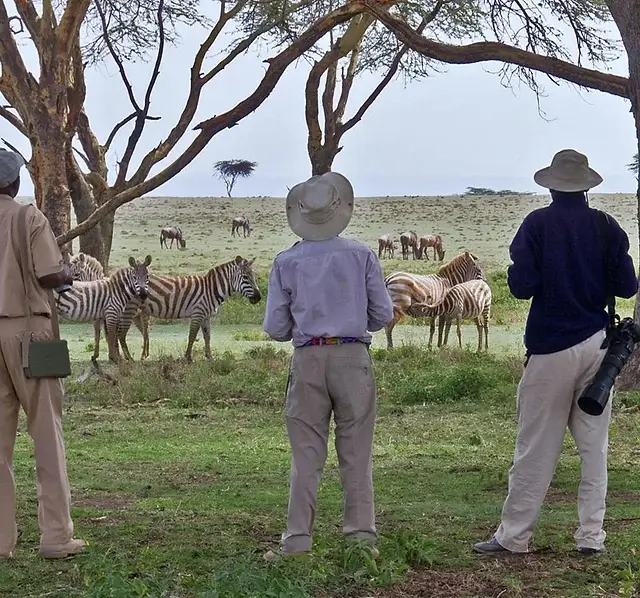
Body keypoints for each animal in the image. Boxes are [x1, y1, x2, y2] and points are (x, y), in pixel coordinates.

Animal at [116, 255, 262, 364]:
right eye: (245, 277)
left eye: (254, 277)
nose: (259, 298)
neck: (211, 289)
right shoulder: (197, 313)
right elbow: (192, 336)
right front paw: (188, 358)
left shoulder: (206, 316)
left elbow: (207, 337)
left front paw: (210, 357)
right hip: (129, 310)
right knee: (121, 334)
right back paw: (129, 359)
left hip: (134, 312)